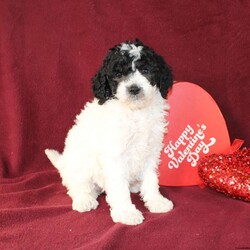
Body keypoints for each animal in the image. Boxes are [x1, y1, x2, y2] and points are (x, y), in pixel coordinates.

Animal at [45, 39, 174, 225]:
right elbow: (119, 187)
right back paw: (84, 200)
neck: (135, 112)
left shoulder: (151, 151)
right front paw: (126, 212)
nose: (134, 89)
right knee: (77, 186)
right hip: (79, 165)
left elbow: (151, 179)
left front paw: (156, 201)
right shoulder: (114, 155)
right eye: (118, 74)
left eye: (146, 70)